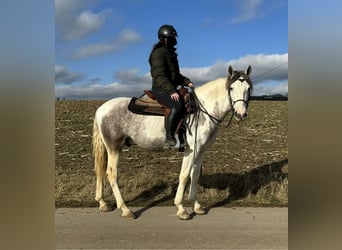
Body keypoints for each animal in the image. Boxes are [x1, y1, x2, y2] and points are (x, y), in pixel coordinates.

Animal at [92, 64, 252, 219]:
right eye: (231, 88)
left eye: (248, 88)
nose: (241, 114)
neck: (202, 111)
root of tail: (100, 109)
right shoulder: (191, 150)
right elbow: (184, 175)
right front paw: (181, 208)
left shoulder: (201, 151)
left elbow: (195, 175)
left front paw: (196, 206)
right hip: (114, 148)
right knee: (112, 174)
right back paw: (125, 210)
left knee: (101, 171)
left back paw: (103, 203)